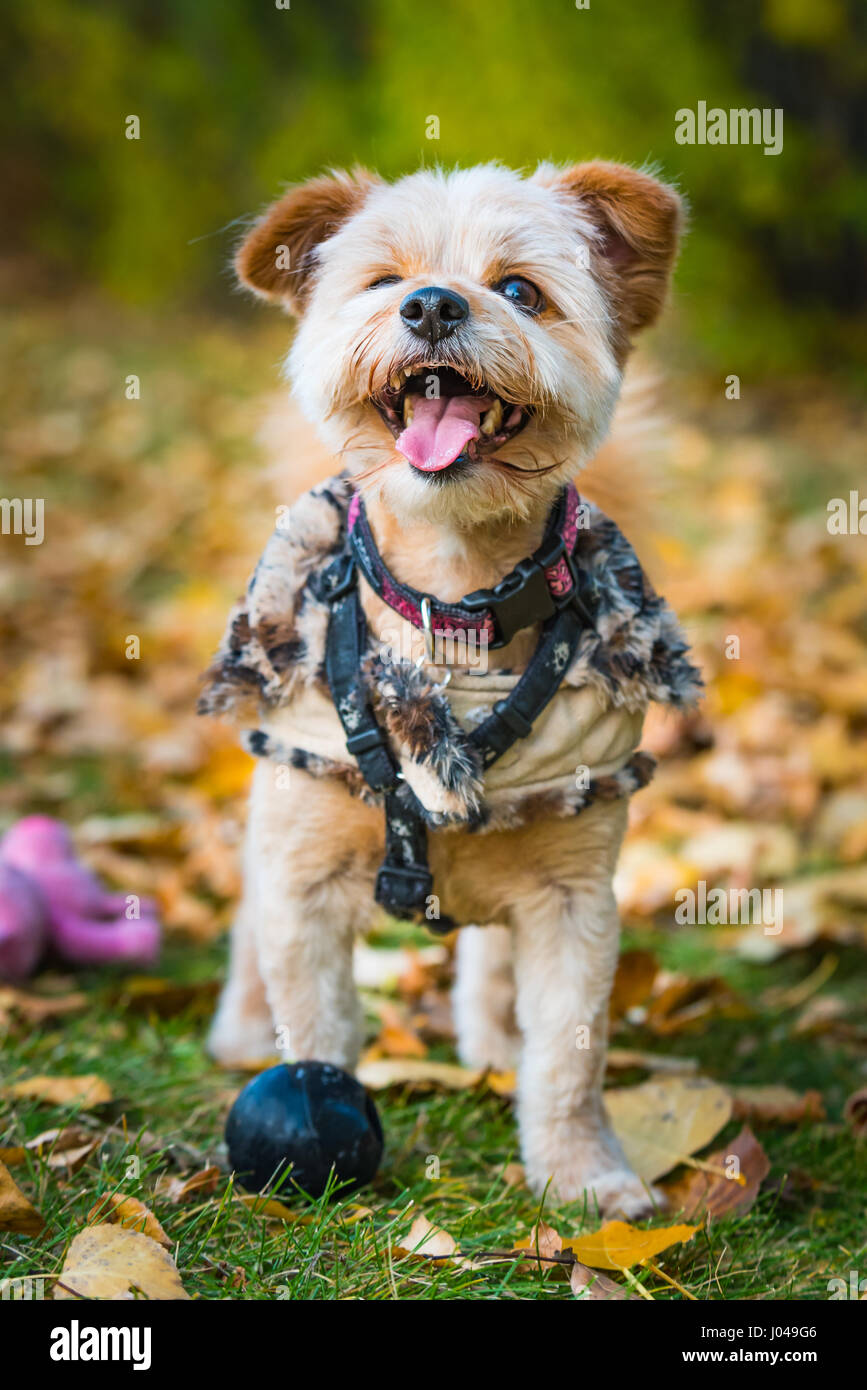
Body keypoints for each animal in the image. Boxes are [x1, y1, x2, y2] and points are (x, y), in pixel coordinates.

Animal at [207, 159, 700, 1217]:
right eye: (383, 281)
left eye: (519, 289)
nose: (432, 303)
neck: (452, 610)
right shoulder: (304, 876)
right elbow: (315, 1024)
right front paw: (307, 1112)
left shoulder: (574, 899)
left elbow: (568, 1059)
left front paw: (584, 1177)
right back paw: (242, 1026)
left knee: (491, 964)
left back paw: (491, 1038)